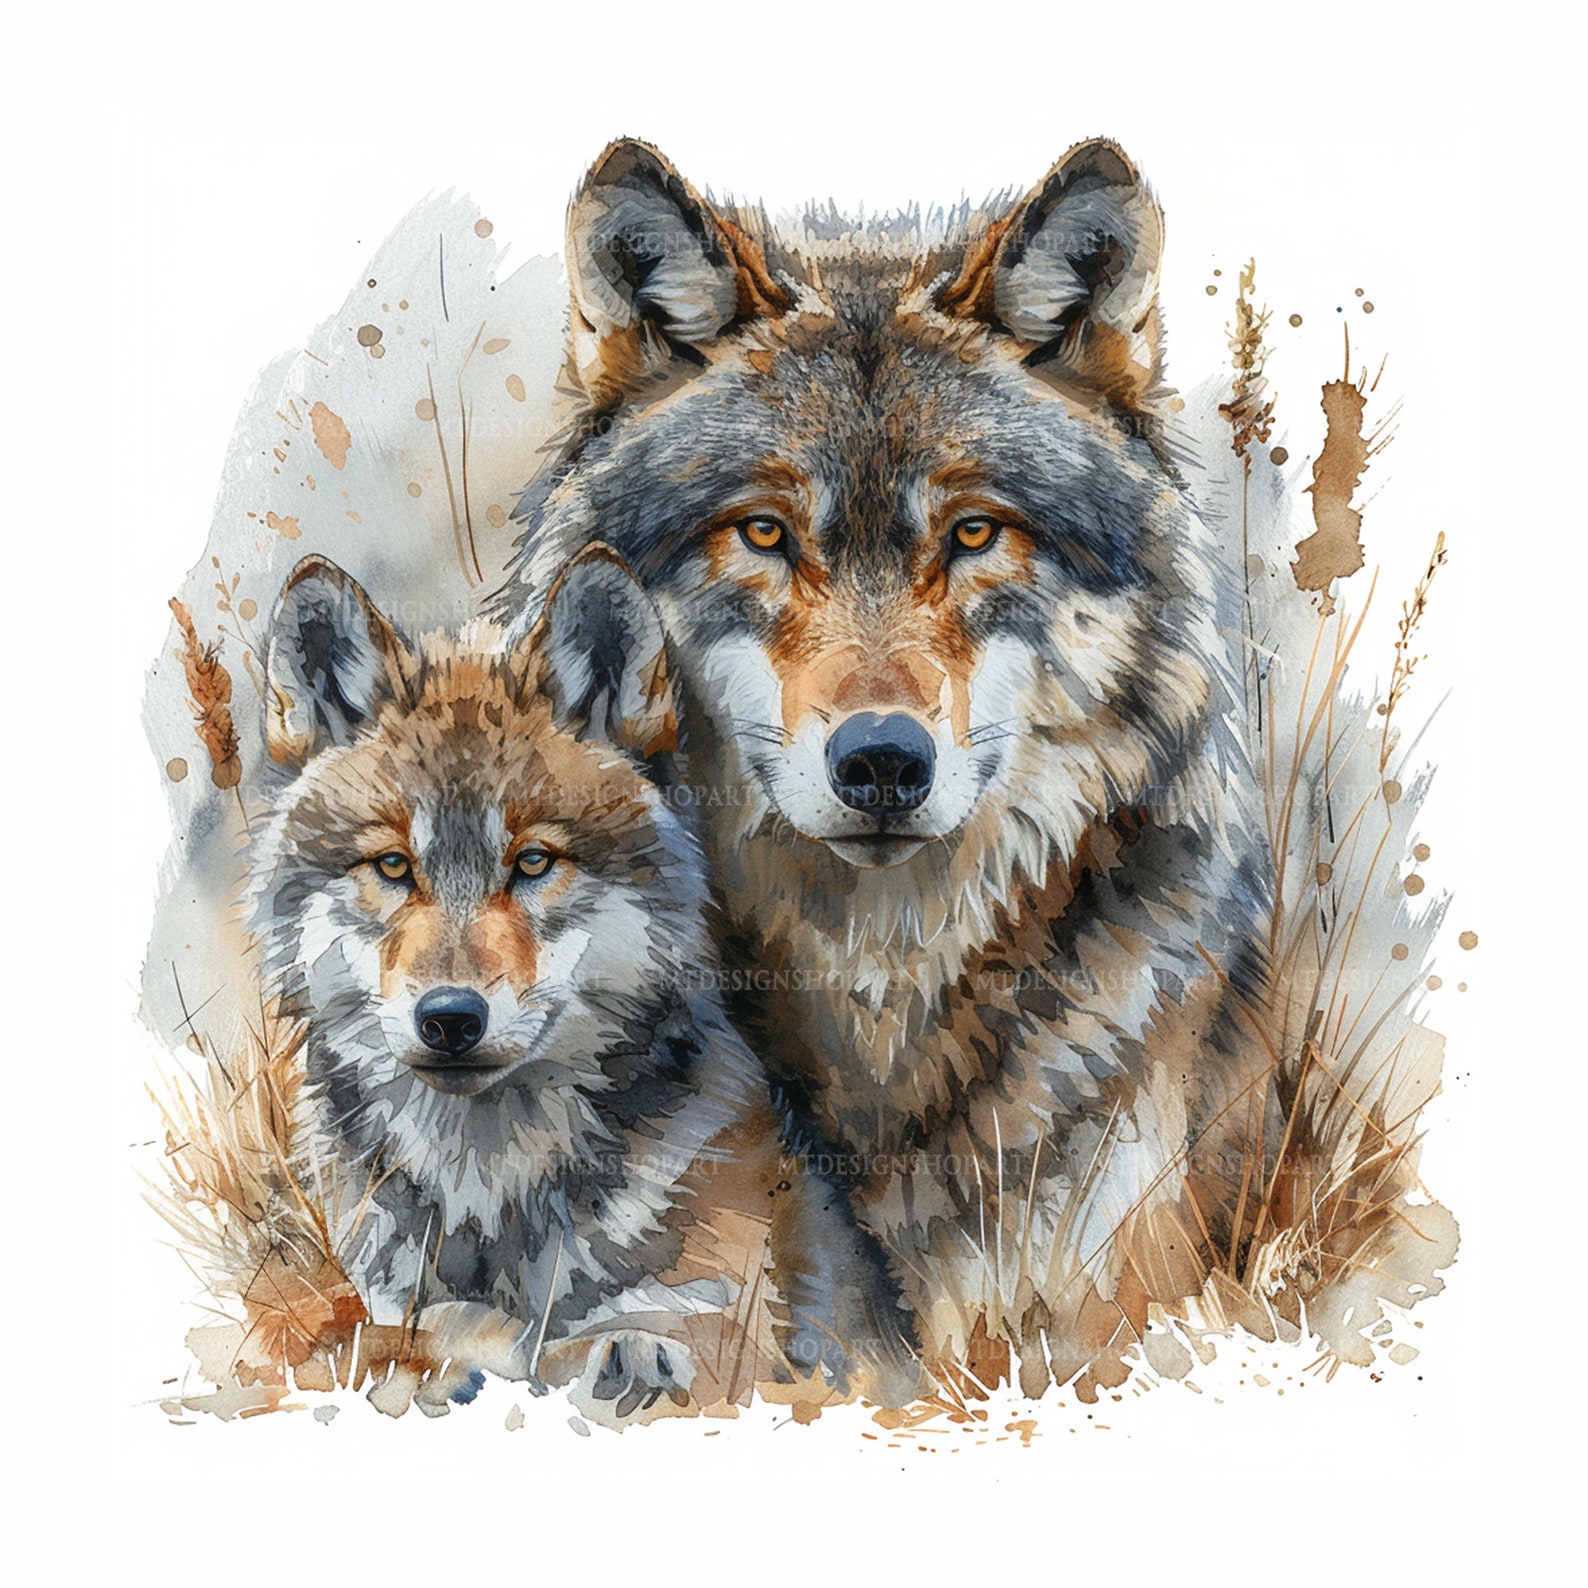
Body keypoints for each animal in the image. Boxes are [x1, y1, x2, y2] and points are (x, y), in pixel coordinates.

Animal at [250, 544, 919, 1422]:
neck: (493, 1197)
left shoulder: (730, 1328)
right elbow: (444, 1326)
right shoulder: (397, 1294)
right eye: (393, 867)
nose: (450, 1018)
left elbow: (624, 1340)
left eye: (534, 861)